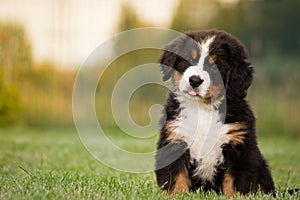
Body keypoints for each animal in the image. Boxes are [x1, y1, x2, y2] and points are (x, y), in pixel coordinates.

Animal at [156, 30, 276, 196]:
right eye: (188, 60)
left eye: (215, 67)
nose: (194, 80)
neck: (203, 109)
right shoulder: (174, 139)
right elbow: (175, 177)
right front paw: (176, 195)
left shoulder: (240, 147)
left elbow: (234, 182)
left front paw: (233, 197)